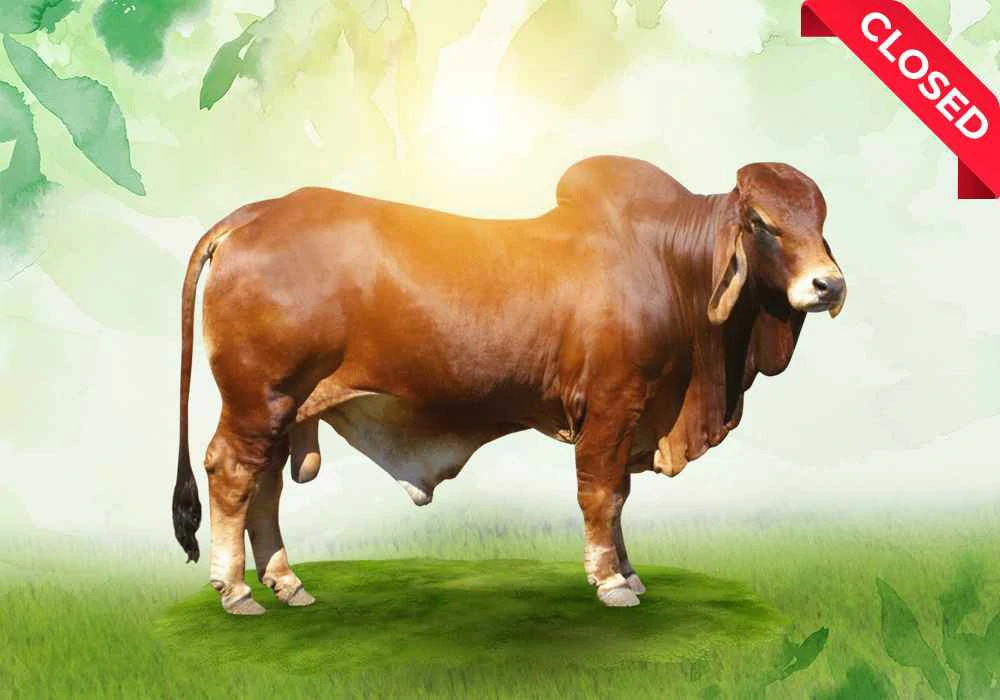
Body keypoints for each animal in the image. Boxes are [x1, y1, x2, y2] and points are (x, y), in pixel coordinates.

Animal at [173, 156, 846, 614]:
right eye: (760, 222)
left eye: (820, 218)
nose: (828, 285)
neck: (670, 262)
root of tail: (254, 213)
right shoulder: (612, 405)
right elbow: (602, 495)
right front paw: (610, 582)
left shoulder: (632, 417)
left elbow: (620, 495)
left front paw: (629, 572)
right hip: (260, 398)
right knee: (231, 474)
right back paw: (235, 590)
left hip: (285, 408)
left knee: (264, 487)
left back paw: (287, 583)